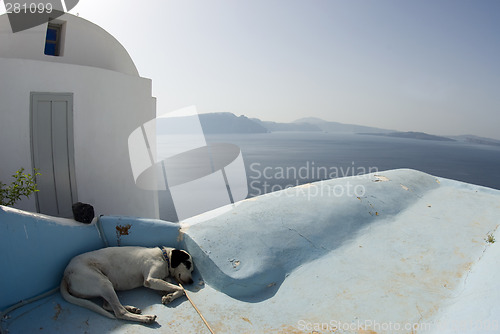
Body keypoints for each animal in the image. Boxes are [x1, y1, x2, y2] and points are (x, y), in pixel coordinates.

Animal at [60, 245, 195, 324]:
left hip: (105, 286)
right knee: (119, 312)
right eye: (188, 265)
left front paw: (168, 295)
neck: (164, 256)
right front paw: (170, 296)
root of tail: (65, 274)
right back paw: (146, 318)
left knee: (107, 305)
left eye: (192, 270)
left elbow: (170, 284)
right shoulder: (150, 280)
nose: (191, 282)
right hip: (103, 283)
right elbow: (181, 289)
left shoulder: (158, 280)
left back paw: (131, 308)